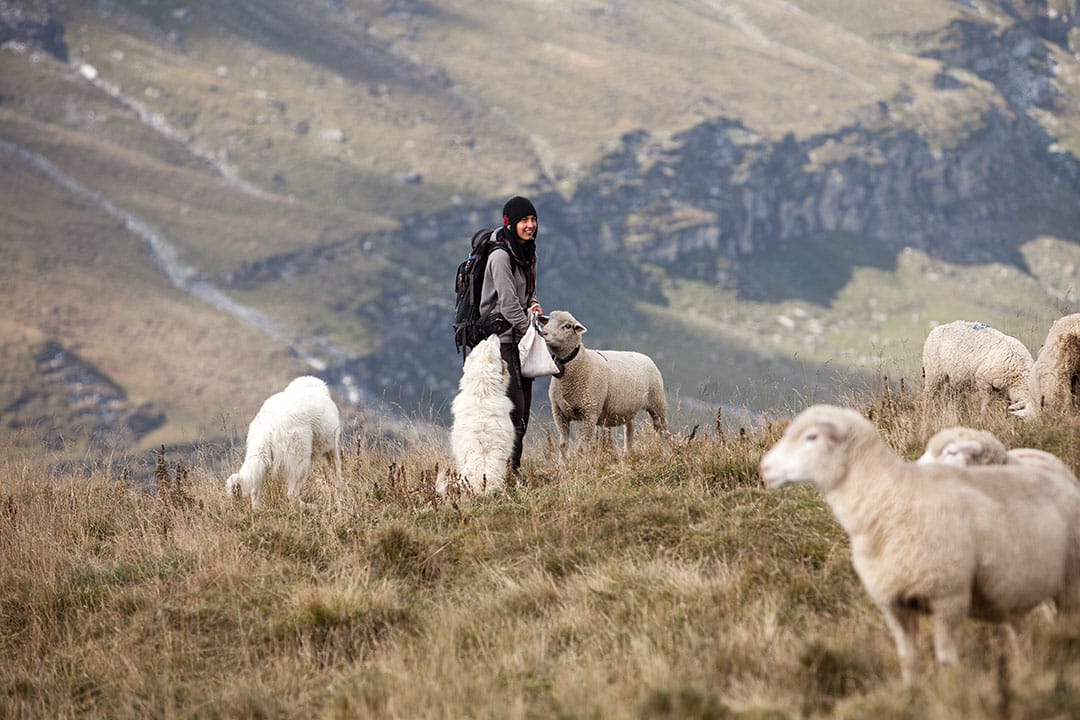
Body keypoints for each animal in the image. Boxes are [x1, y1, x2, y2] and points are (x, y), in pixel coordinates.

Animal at [225, 375, 343, 509]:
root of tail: (269, 425)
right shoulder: (332, 449)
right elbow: (336, 475)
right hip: (301, 461)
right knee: (292, 494)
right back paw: (311, 507)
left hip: (260, 457)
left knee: (255, 491)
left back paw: (258, 510)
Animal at [540, 310, 665, 455]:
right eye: (548, 321)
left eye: (567, 326)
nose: (544, 333)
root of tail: (644, 356)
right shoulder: (559, 413)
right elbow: (563, 445)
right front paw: (563, 461)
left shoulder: (590, 412)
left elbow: (581, 448)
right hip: (630, 410)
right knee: (629, 433)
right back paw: (628, 455)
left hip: (657, 403)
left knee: (663, 432)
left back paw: (667, 454)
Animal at [760, 405, 1080, 682]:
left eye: (811, 437)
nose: (764, 468)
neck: (889, 500)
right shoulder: (893, 603)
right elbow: (908, 659)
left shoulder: (948, 597)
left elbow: (947, 660)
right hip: (1013, 593)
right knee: (1020, 631)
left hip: (1069, 584)